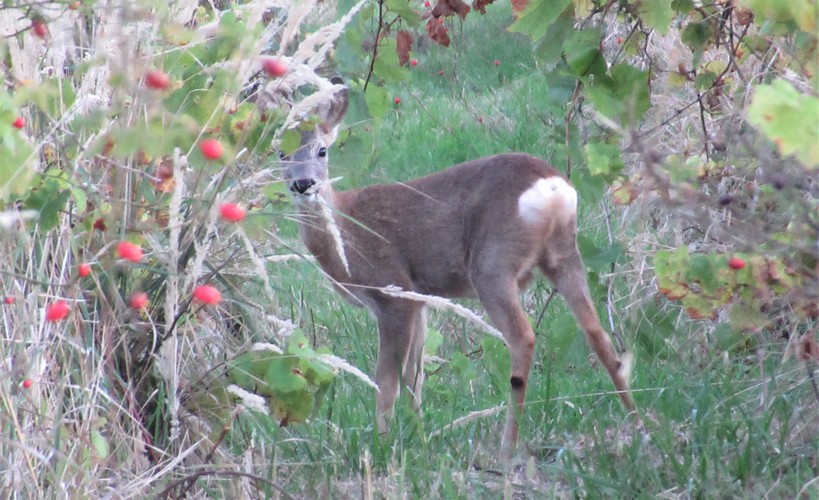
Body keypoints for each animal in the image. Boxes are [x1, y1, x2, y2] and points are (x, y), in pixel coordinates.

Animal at [282, 83, 640, 458]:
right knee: (598, 335)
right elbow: (415, 377)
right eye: (281, 154)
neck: (345, 233)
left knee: (524, 337)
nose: (303, 184)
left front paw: (381, 446)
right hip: (563, 254)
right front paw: (420, 439)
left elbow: (387, 381)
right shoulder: (420, 298)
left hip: (492, 265)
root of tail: (552, 187)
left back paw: (507, 446)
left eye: (322, 150)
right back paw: (638, 423)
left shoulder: (394, 292)